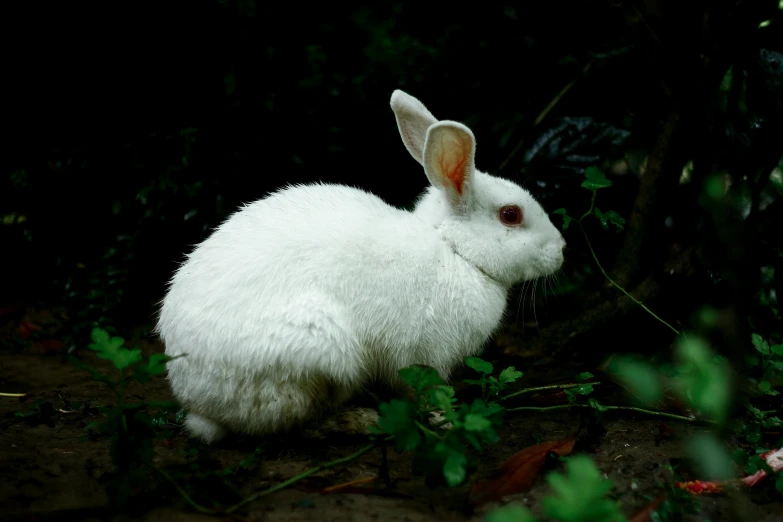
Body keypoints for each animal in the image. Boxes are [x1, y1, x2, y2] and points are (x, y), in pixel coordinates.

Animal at [156, 90, 568, 442]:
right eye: (511, 215)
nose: (562, 250)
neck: (454, 250)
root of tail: (199, 402)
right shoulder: (423, 356)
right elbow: (425, 390)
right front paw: (446, 420)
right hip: (321, 356)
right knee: (297, 426)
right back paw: (361, 421)